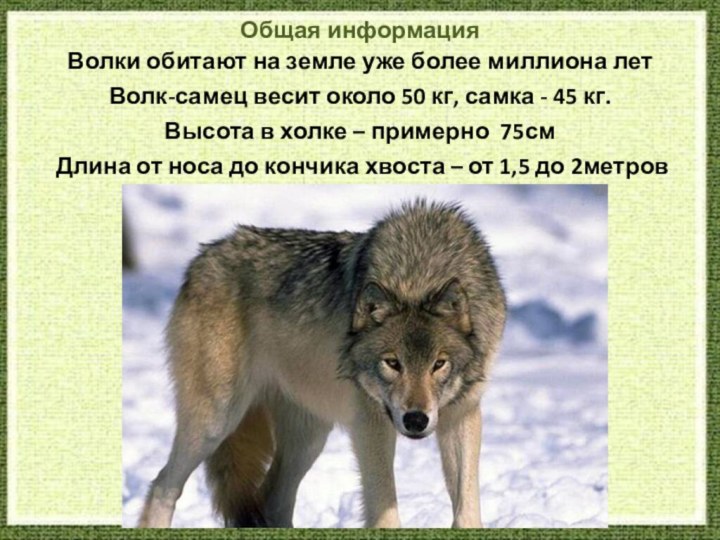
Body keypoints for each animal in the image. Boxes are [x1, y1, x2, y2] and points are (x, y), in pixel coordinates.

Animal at [137, 200, 506, 528]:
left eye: (438, 364)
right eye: (392, 363)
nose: (416, 420)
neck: (418, 274)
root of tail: (205, 254)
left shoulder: (461, 414)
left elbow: (467, 510)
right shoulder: (370, 423)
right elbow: (385, 513)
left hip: (309, 438)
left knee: (270, 500)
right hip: (217, 420)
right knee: (163, 485)